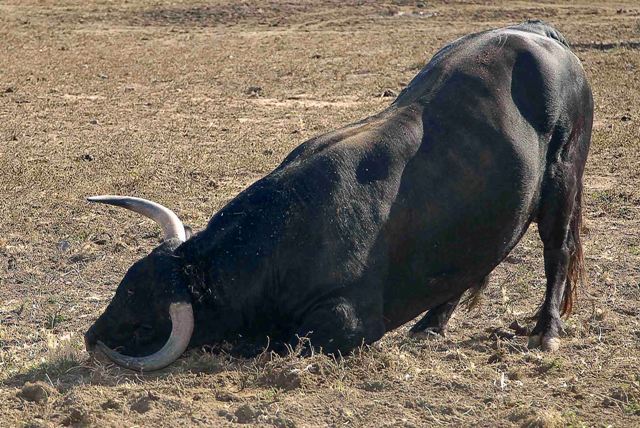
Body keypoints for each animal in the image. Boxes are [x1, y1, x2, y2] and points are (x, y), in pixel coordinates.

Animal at [82, 20, 592, 372]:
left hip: (564, 184)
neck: (288, 235)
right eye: (123, 288)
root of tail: (539, 33)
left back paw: (546, 331)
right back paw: (429, 325)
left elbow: (290, 340)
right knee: (478, 261)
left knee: (558, 252)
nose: (91, 338)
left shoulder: (350, 323)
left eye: (145, 324)